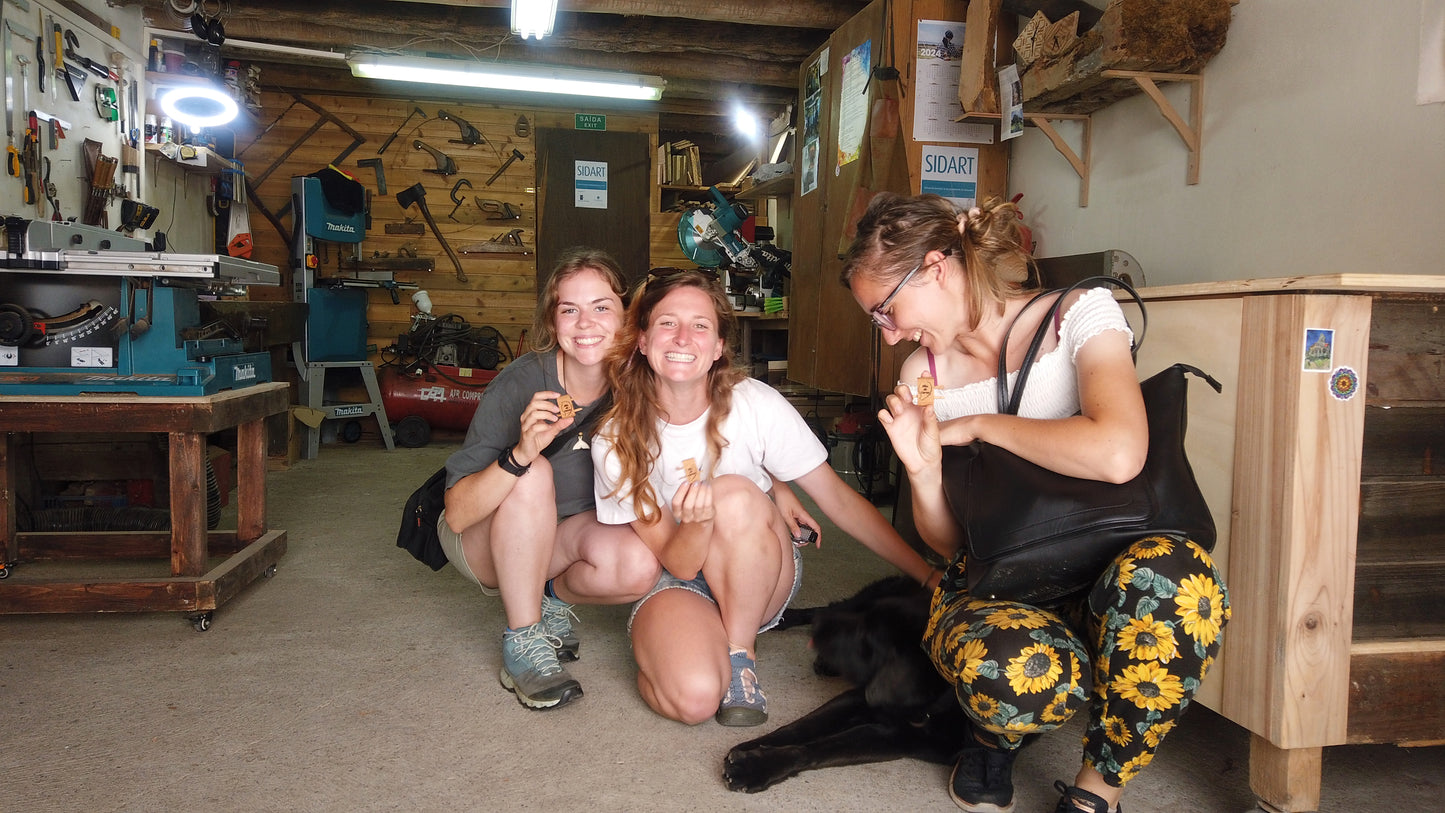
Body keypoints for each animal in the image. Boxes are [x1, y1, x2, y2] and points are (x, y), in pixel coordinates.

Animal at [722, 571, 971, 797]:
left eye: (866, 636)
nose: (819, 625)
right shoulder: (857, 699)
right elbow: (801, 727)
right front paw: (753, 746)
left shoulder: (901, 738)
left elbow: (818, 748)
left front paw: (755, 766)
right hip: (861, 600)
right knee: (830, 607)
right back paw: (787, 619)